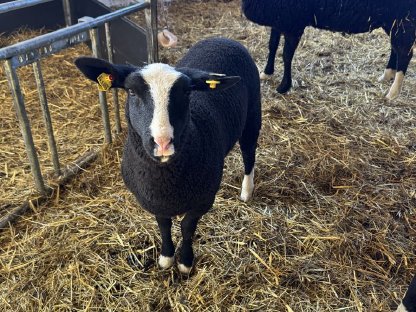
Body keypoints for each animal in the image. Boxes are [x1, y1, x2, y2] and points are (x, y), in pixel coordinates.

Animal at [75, 38, 262, 272]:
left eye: (187, 92)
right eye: (131, 92)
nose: (162, 143)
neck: (165, 181)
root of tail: (222, 39)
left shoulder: (203, 200)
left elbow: (187, 227)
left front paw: (185, 262)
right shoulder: (154, 201)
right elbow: (163, 225)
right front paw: (166, 257)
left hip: (253, 115)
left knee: (249, 154)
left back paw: (246, 191)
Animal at [242, 0, 414, 100]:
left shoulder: (294, 22)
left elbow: (286, 55)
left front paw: (284, 86)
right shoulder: (279, 18)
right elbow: (272, 46)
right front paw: (266, 73)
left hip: (403, 17)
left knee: (405, 53)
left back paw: (392, 94)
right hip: (391, 20)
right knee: (395, 49)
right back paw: (386, 76)